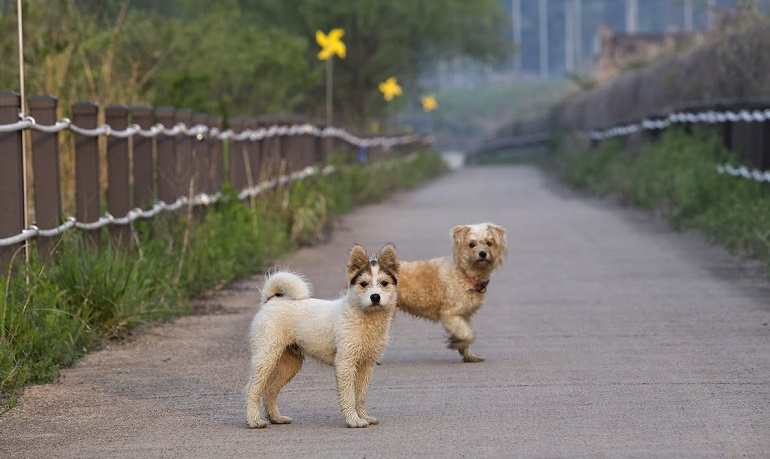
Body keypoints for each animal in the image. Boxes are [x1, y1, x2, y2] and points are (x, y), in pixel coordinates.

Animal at [244, 246, 402, 430]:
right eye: (364, 284)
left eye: (384, 283)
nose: (375, 297)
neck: (363, 317)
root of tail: (270, 301)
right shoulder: (345, 363)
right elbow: (349, 396)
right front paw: (353, 420)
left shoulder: (366, 365)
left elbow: (360, 396)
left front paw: (364, 417)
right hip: (265, 358)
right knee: (252, 389)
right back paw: (254, 420)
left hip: (289, 364)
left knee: (270, 390)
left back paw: (276, 418)